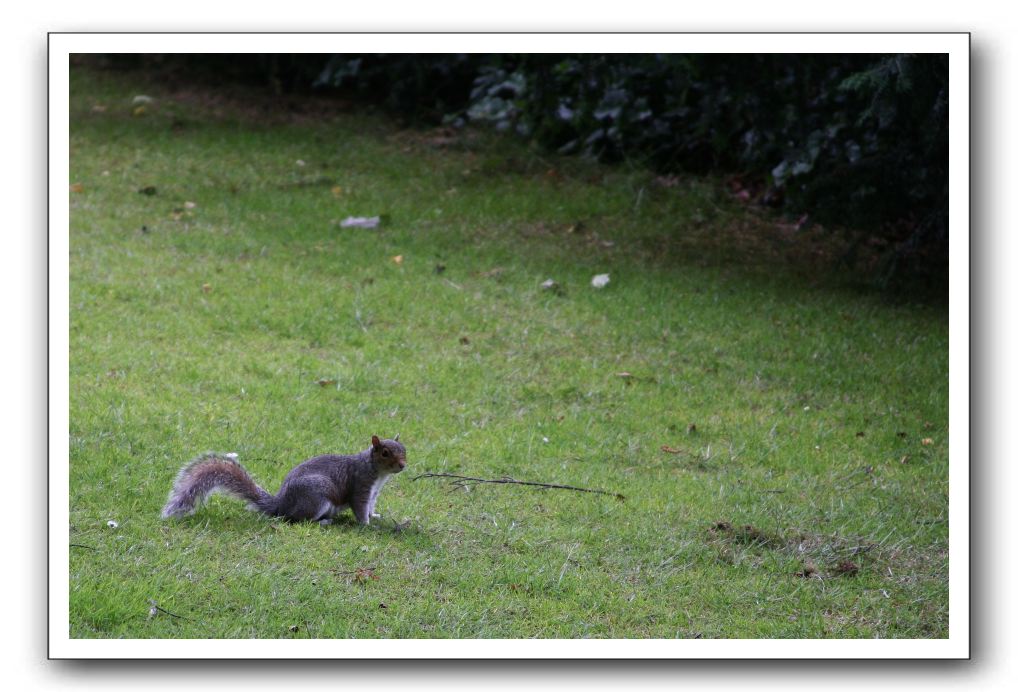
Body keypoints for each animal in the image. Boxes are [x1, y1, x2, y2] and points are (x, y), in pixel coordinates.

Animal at [160, 431, 407, 525]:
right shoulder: (360, 485)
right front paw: (366, 525)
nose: (403, 465)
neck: (377, 473)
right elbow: (359, 507)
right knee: (299, 519)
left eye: (404, 449)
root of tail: (281, 504)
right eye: (385, 453)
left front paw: (374, 516)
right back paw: (324, 521)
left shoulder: (373, 492)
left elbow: (371, 506)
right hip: (317, 497)